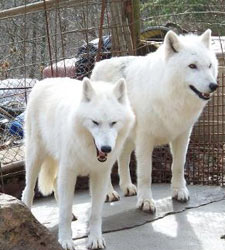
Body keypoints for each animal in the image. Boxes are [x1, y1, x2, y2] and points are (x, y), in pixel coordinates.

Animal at [21, 77, 134, 249]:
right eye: (95, 122)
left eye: (114, 123)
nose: (106, 148)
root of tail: (43, 80)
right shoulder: (69, 172)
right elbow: (65, 212)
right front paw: (65, 240)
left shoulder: (100, 174)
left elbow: (95, 213)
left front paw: (95, 239)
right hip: (35, 158)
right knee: (28, 190)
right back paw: (27, 212)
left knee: (55, 183)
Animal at [91, 29, 218, 211]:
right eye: (192, 66)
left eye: (209, 66)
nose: (214, 86)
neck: (169, 96)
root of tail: (98, 65)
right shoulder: (145, 140)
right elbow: (145, 174)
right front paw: (146, 201)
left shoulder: (182, 135)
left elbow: (178, 166)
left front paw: (179, 191)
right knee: (106, 166)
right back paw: (109, 193)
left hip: (128, 140)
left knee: (123, 158)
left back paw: (127, 187)